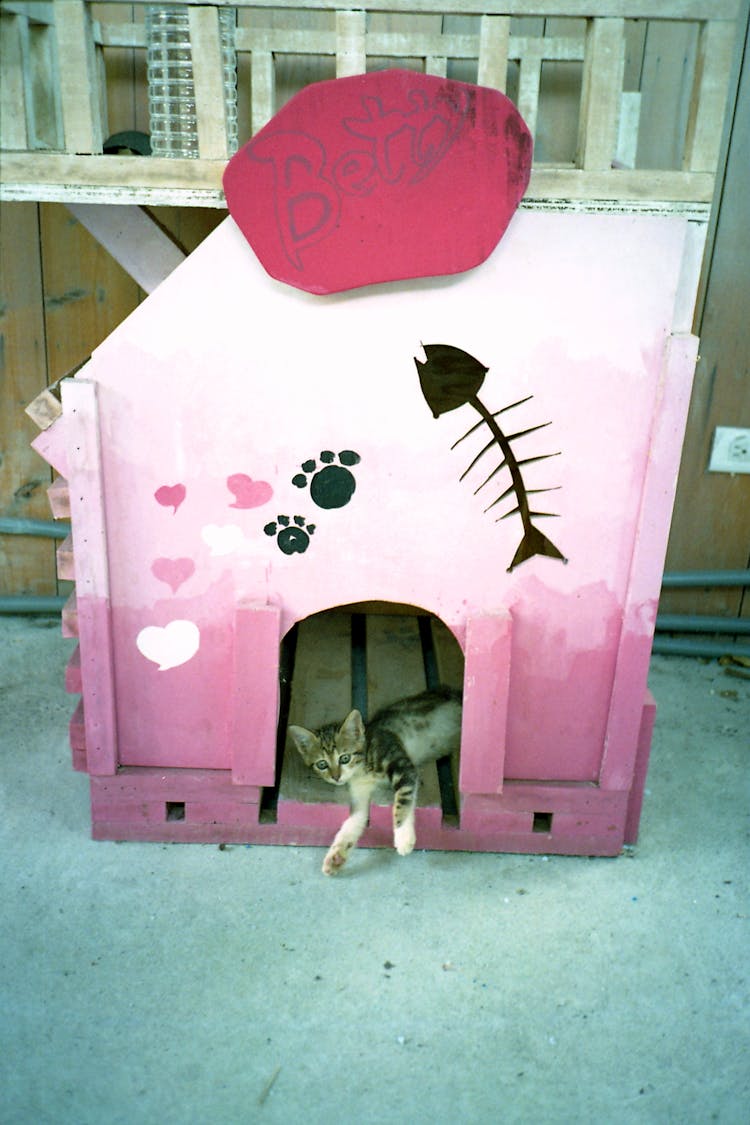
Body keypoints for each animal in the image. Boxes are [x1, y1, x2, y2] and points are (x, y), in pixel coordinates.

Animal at [290, 684, 461, 877]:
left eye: (344, 758)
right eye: (322, 764)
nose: (336, 777)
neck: (362, 771)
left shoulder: (401, 764)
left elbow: (403, 799)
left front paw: (403, 837)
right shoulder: (360, 794)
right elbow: (352, 823)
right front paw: (335, 856)